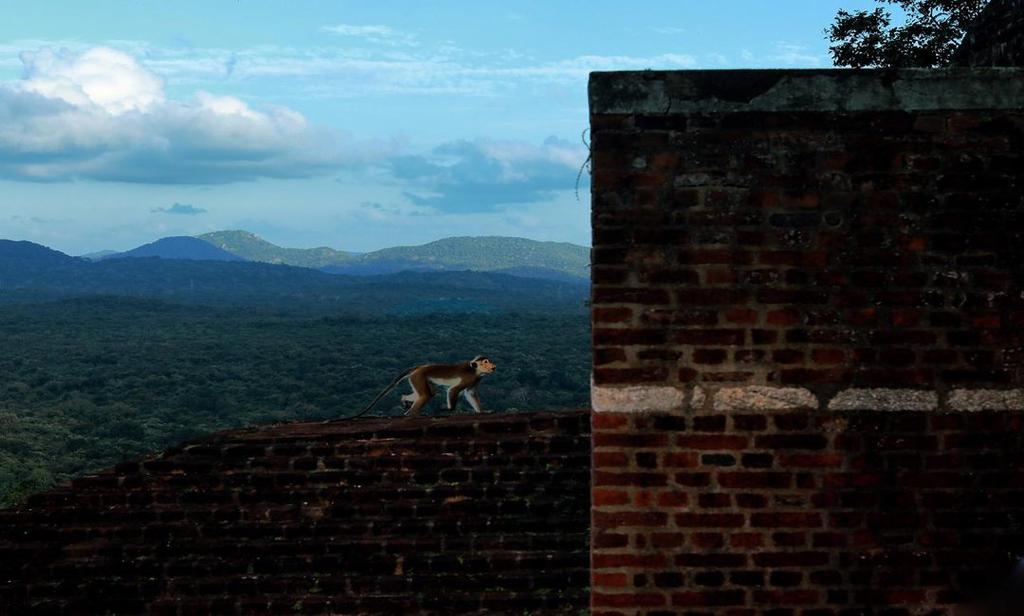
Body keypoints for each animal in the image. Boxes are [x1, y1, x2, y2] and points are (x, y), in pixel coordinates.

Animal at [355, 356, 497, 418]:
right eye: (486, 362)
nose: (493, 366)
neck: (475, 371)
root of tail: (418, 367)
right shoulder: (469, 378)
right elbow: (454, 389)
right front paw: (449, 409)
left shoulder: (477, 379)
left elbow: (470, 393)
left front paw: (482, 411)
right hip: (418, 376)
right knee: (426, 395)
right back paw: (412, 414)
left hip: (418, 378)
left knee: (429, 393)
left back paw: (404, 399)